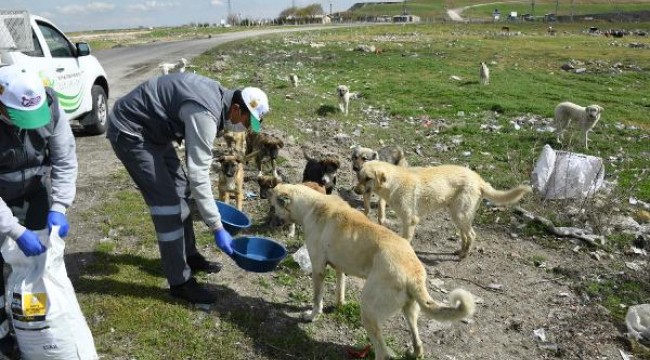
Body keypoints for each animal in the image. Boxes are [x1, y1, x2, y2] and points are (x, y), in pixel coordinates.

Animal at [354, 160, 532, 258]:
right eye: (358, 176)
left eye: (368, 178)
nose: (355, 190)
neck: (394, 183)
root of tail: (479, 180)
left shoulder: (410, 221)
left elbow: (405, 240)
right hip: (457, 215)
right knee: (465, 236)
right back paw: (460, 251)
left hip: (460, 215)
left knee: (472, 235)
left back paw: (464, 255)